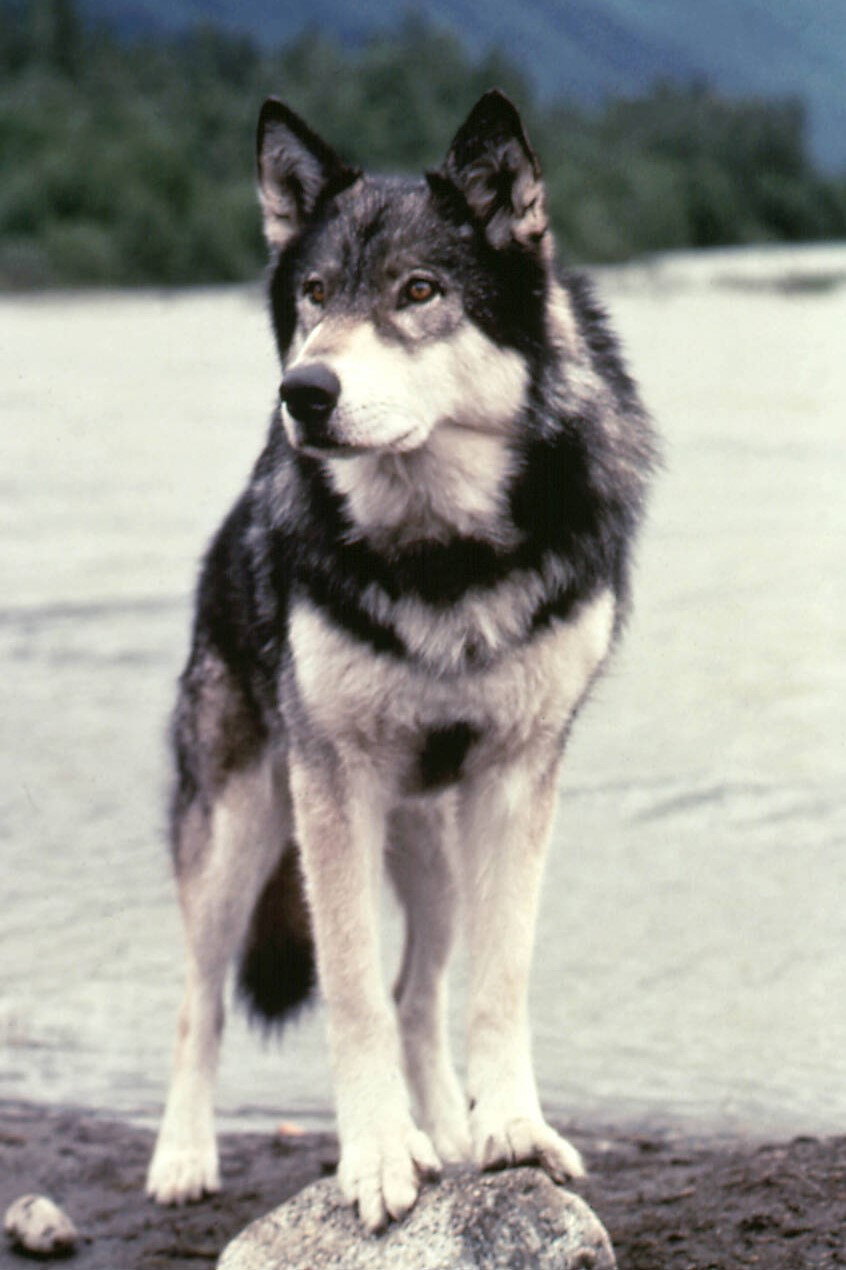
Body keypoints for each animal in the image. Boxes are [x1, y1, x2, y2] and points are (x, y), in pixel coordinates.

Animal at [145, 90, 655, 1230]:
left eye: (417, 292)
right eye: (317, 295)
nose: (304, 391)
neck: (442, 556)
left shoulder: (516, 779)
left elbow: (493, 985)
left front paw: (509, 1131)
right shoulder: (332, 786)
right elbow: (345, 994)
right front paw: (378, 1156)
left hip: (433, 846)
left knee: (417, 994)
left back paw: (453, 1133)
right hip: (240, 833)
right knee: (201, 1001)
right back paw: (184, 1156)